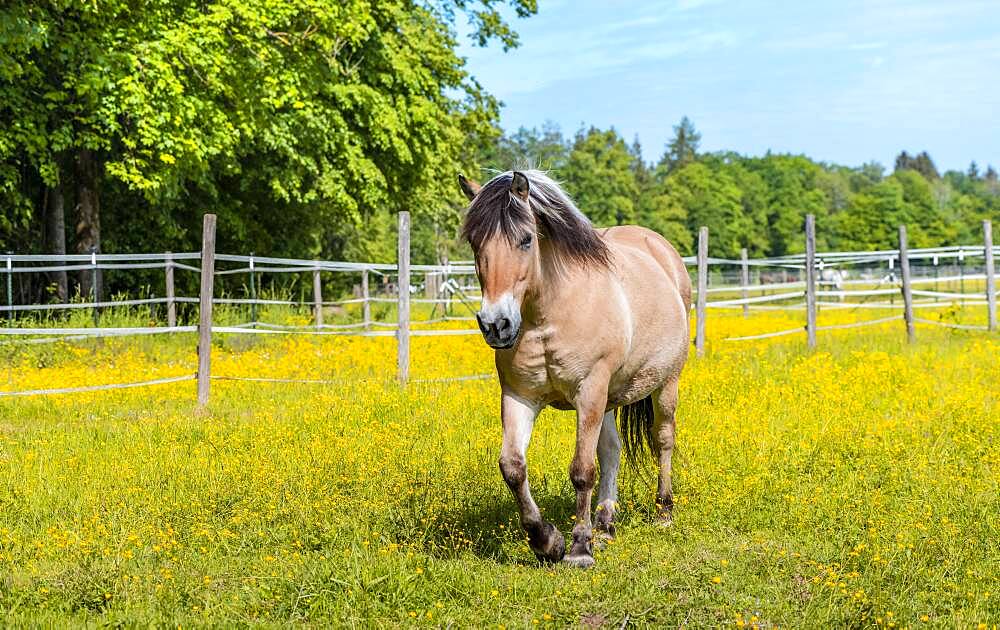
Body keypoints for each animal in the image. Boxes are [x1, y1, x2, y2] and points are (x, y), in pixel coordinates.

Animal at [458, 169, 688, 568]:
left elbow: (582, 471)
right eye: (475, 242)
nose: (495, 325)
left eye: (525, 240)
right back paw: (606, 525)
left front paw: (579, 548)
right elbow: (513, 467)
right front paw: (547, 541)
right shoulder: (519, 396)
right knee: (611, 451)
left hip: (664, 385)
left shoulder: (589, 392)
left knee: (663, 441)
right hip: (610, 399)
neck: (547, 315)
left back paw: (663, 513)